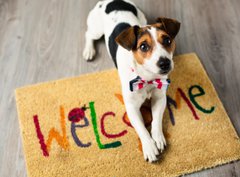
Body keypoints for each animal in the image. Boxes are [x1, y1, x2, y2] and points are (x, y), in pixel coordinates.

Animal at [83, 0, 179, 163]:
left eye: (167, 40)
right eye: (143, 46)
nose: (165, 63)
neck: (147, 78)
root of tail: (110, 1)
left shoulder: (160, 98)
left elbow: (156, 120)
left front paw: (158, 137)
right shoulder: (132, 108)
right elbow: (142, 129)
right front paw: (149, 147)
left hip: (143, 18)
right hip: (96, 29)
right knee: (89, 34)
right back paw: (89, 50)